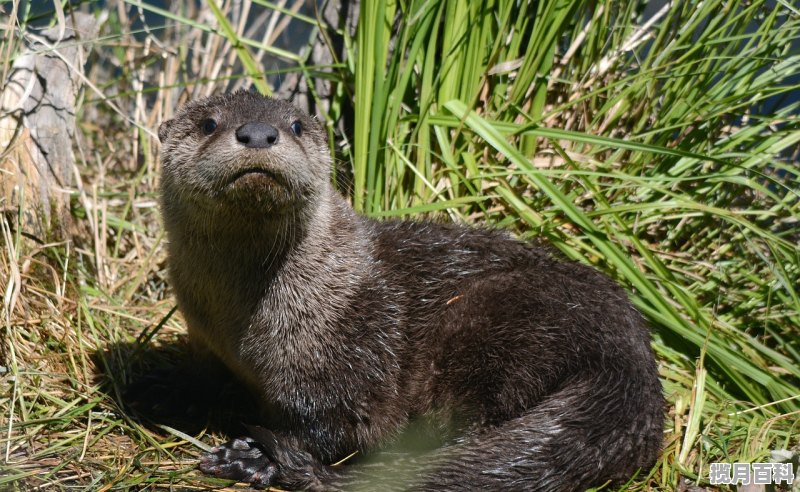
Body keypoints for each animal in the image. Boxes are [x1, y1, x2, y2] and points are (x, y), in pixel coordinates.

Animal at [156, 90, 664, 490]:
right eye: (208, 123)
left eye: (296, 125)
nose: (260, 133)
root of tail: (630, 357)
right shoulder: (209, 344)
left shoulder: (350, 353)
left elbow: (335, 425)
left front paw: (253, 456)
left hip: (497, 320)